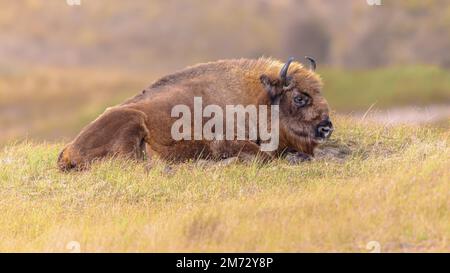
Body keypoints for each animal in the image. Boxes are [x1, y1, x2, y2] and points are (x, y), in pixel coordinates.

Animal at [57, 56, 334, 169]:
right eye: (299, 97)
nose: (326, 127)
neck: (256, 97)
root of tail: (68, 150)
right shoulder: (226, 142)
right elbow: (263, 156)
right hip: (133, 122)